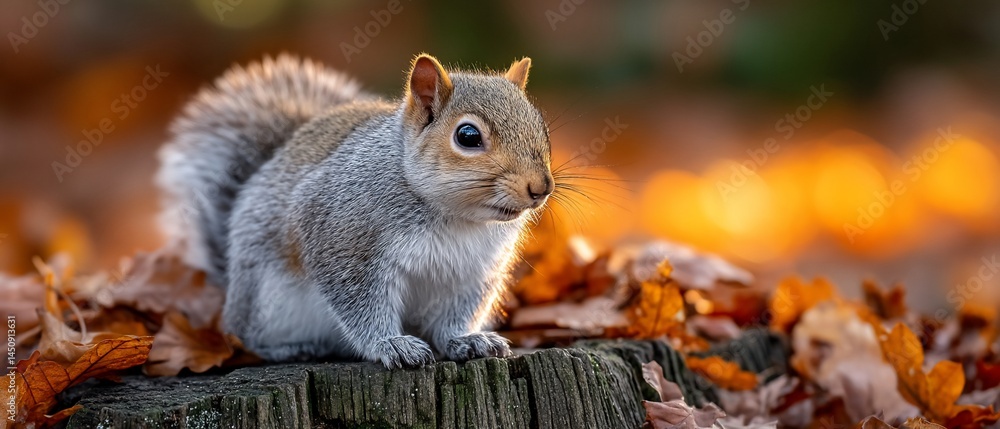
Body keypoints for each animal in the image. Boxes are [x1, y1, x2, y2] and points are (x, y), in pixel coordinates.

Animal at [156, 53, 553, 368]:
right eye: (467, 136)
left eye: (541, 126)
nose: (541, 188)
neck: (456, 217)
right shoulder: (343, 238)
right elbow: (360, 303)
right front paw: (390, 344)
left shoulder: (471, 271)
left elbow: (454, 316)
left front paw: (465, 340)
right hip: (266, 302)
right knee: (245, 339)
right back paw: (291, 349)